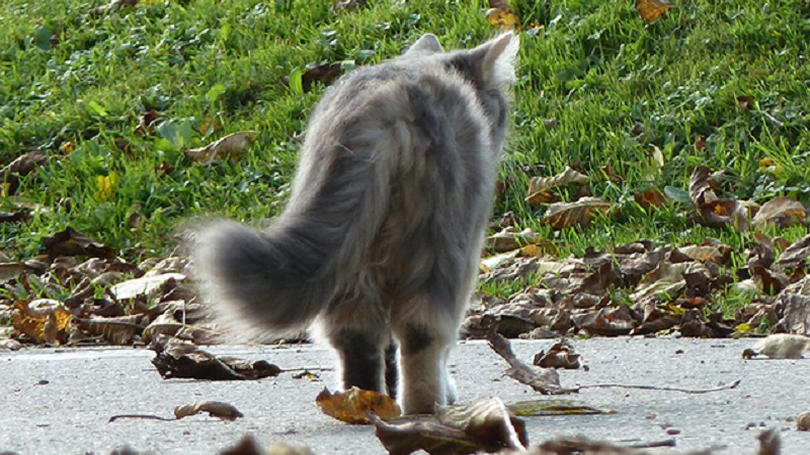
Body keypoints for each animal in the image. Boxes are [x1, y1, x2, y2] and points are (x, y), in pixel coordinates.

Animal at [193, 32, 516, 416]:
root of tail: (388, 97)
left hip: (351, 251)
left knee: (356, 336)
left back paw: (362, 403)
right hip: (439, 242)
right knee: (421, 334)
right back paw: (426, 407)